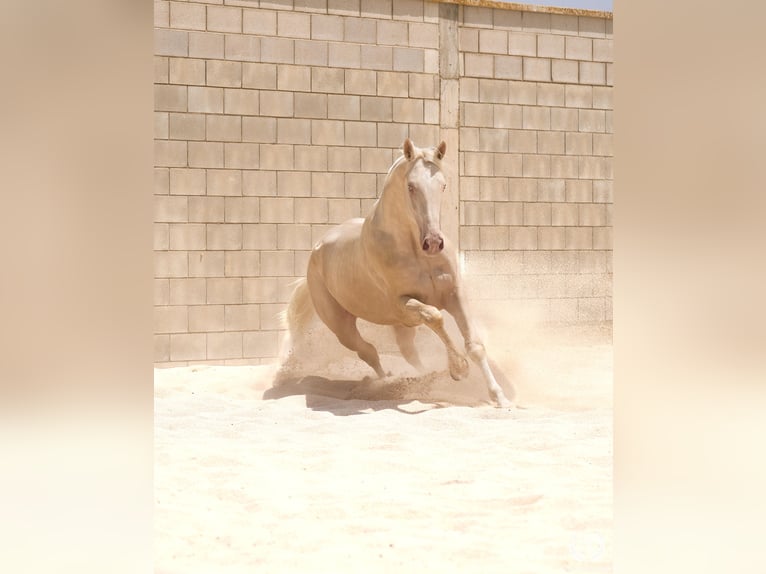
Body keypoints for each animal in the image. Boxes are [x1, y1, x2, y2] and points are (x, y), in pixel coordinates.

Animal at [277, 138, 512, 408]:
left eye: (443, 185)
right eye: (411, 187)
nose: (433, 243)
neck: (416, 253)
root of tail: (317, 249)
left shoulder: (454, 295)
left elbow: (475, 345)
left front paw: (499, 397)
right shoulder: (403, 304)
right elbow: (435, 316)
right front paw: (458, 369)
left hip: (401, 326)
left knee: (407, 353)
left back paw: (420, 381)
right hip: (342, 326)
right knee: (367, 351)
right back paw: (386, 384)